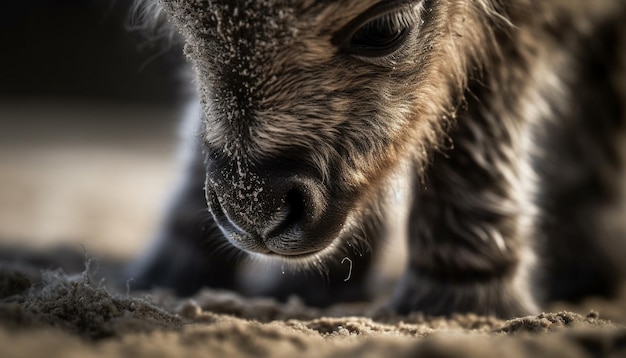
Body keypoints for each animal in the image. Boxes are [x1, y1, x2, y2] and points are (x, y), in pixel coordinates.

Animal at [130, 0, 624, 318]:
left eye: (383, 29)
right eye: (180, 27)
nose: (254, 210)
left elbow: (477, 108)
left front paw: (457, 300)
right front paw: (169, 271)